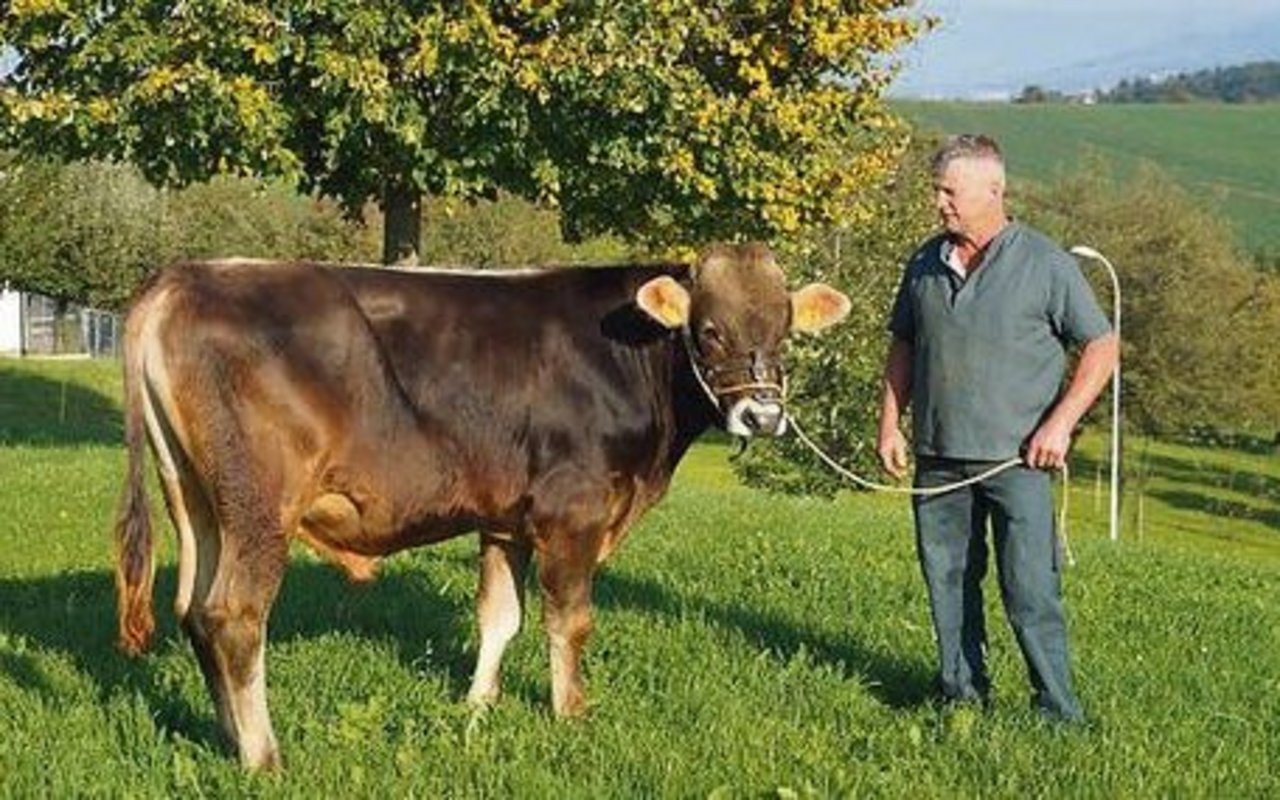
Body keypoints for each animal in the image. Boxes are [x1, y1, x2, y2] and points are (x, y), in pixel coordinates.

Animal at [112, 241, 849, 768]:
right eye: (710, 329)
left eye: (785, 329)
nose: (762, 416)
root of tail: (183, 278)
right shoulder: (574, 510)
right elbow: (569, 622)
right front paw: (571, 713)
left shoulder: (507, 519)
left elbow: (500, 619)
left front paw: (477, 709)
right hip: (261, 503)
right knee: (235, 615)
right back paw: (264, 756)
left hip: (196, 498)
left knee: (194, 610)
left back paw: (228, 735)